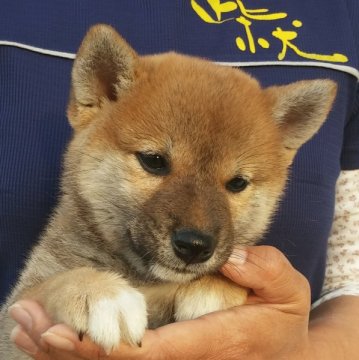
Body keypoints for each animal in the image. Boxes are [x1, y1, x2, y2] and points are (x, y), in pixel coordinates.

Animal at [0, 23, 338, 358]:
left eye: (237, 183)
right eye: (154, 161)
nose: (195, 246)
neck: (147, 281)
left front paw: (215, 286)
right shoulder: (16, 315)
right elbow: (51, 284)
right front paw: (98, 293)